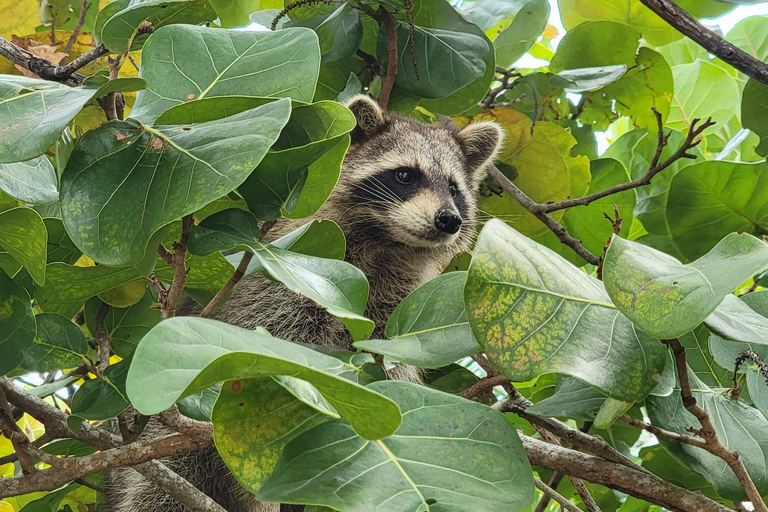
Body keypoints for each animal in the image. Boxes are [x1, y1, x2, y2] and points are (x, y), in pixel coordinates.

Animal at [106, 94, 504, 510]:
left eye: (454, 189)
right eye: (406, 176)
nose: (448, 219)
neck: (385, 244)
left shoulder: (392, 309)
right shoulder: (287, 282)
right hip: (157, 436)